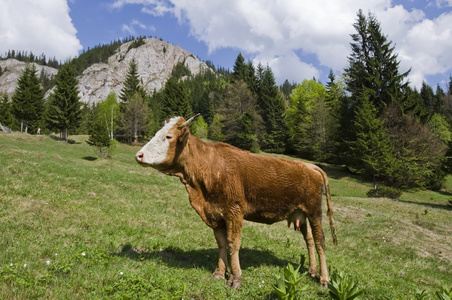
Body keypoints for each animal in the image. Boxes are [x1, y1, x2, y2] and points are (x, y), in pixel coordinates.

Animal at [136, 113, 338, 288]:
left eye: (168, 136)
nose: (139, 155)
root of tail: (308, 165)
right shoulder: (215, 214)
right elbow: (221, 243)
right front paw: (219, 273)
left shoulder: (234, 211)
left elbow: (233, 243)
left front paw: (235, 278)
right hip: (301, 213)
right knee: (309, 239)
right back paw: (312, 270)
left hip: (314, 211)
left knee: (320, 241)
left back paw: (324, 279)